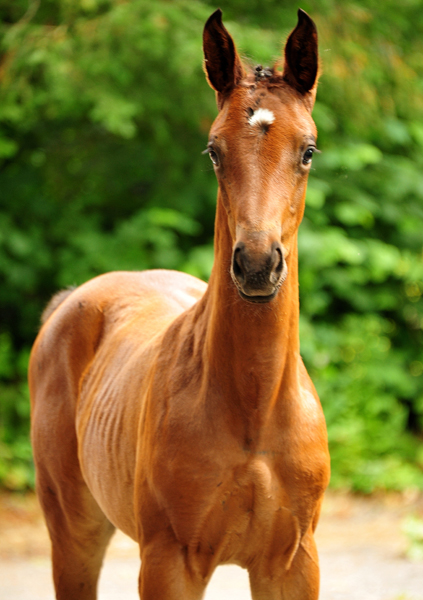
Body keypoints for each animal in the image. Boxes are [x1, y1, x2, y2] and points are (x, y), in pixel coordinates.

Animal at [29, 10, 332, 600]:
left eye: (308, 150)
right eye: (214, 150)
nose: (257, 264)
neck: (254, 410)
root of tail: (68, 304)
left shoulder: (292, 564)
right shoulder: (170, 562)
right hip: (73, 532)